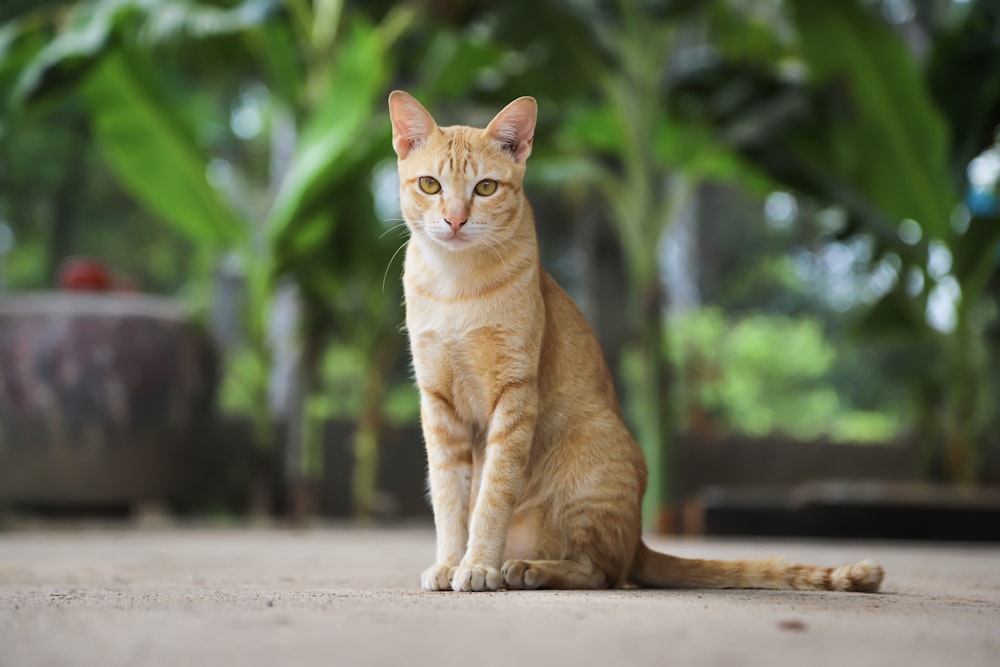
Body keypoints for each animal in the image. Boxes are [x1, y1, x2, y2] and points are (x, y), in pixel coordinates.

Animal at [386, 90, 888, 596]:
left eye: (485, 188)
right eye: (430, 185)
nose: (454, 220)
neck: (456, 284)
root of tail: (640, 541)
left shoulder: (514, 398)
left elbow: (491, 495)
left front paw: (478, 565)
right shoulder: (438, 402)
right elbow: (450, 496)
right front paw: (451, 562)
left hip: (593, 461)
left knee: (603, 572)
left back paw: (528, 568)